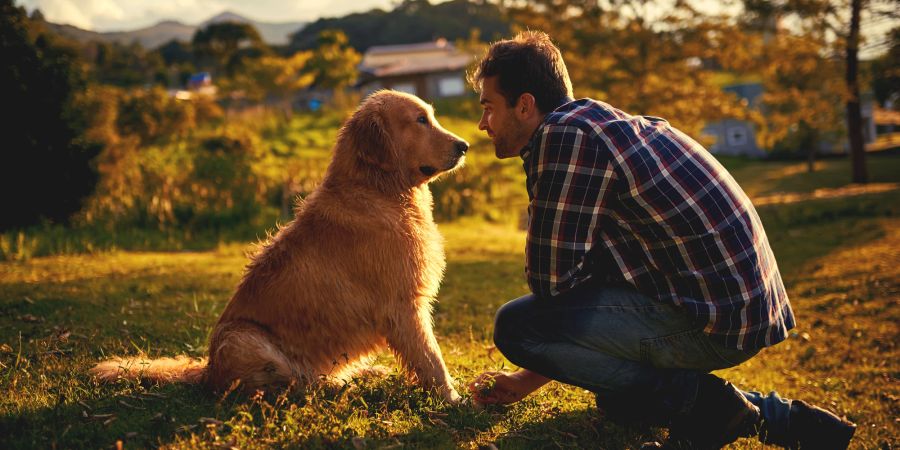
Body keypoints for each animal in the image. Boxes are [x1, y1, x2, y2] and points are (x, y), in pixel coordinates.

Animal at [91, 89, 472, 402]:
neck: (379, 189)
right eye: (420, 120)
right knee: (283, 383)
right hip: (240, 337)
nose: (465, 146)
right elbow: (431, 359)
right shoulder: (404, 305)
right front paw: (454, 399)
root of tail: (207, 370)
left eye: (432, 116)